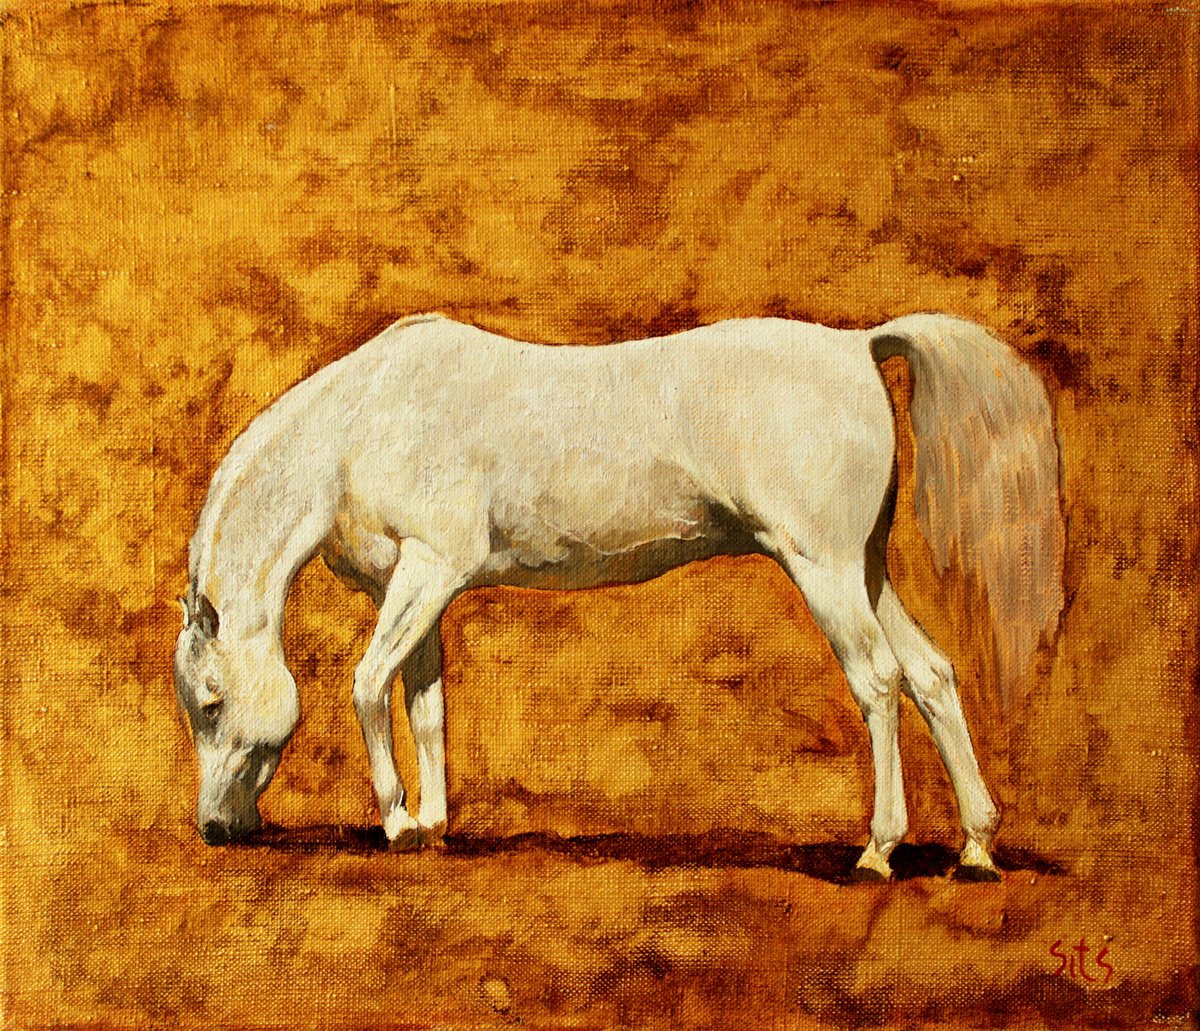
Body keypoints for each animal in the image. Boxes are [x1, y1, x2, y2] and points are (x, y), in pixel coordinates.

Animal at [173, 312, 1064, 880]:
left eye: (210, 702)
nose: (215, 828)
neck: (365, 422)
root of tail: (856, 345)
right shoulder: (421, 586)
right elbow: (425, 706)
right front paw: (431, 825)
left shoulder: (428, 569)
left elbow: (364, 685)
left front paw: (395, 819)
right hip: (866, 570)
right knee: (933, 675)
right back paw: (976, 848)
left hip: (826, 569)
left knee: (879, 682)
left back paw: (878, 850)